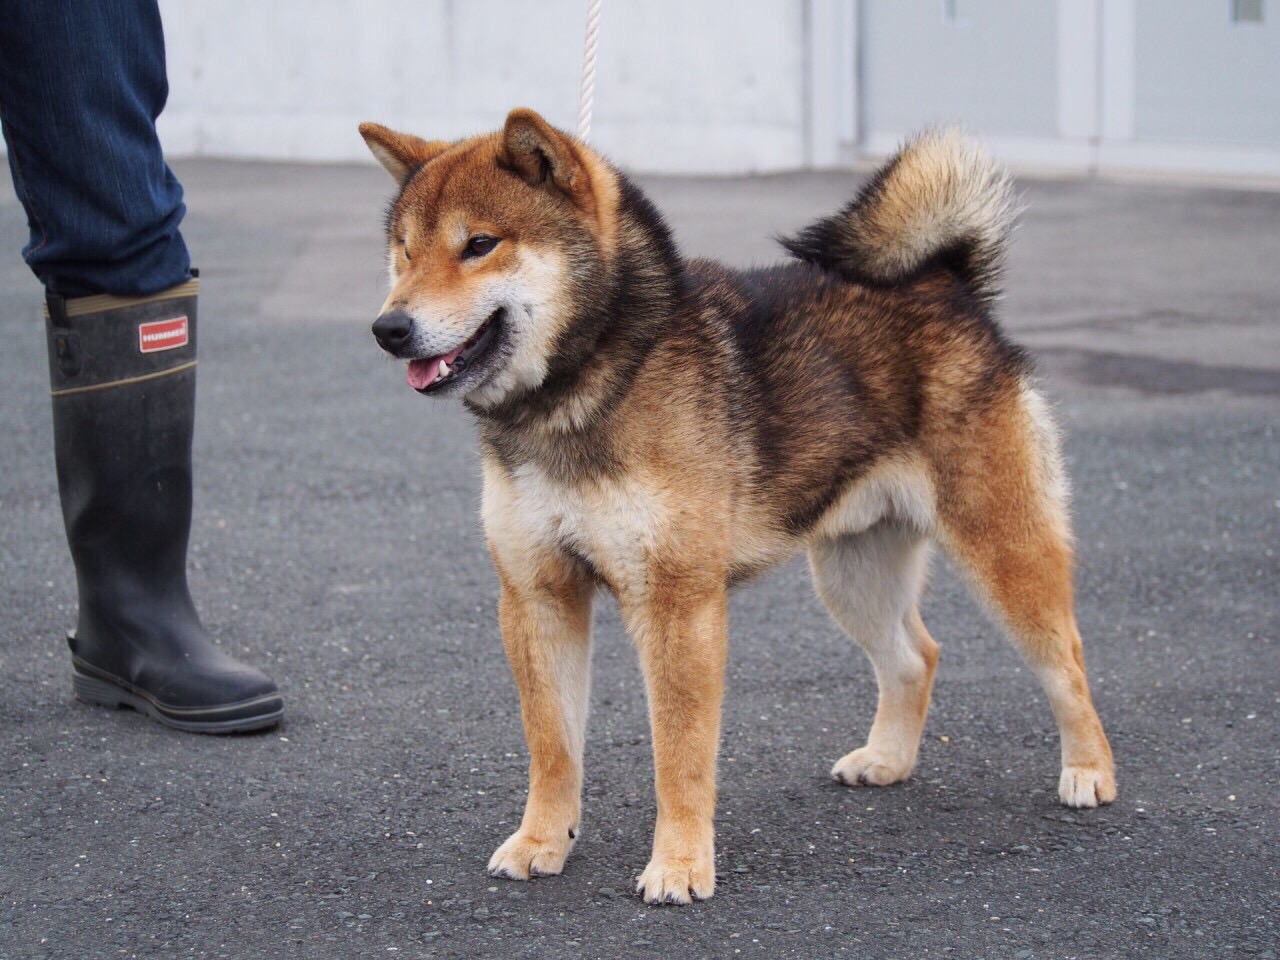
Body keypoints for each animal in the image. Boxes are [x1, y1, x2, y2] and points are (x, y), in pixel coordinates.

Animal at [359, 108, 1116, 905]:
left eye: (479, 245)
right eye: (404, 251)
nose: (389, 329)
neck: (589, 386)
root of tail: (947, 283)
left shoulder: (677, 603)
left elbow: (679, 756)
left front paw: (680, 865)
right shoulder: (536, 594)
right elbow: (553, 746)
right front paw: (542, 842)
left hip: (1002, 550)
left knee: (1065, 657)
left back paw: (1089, 771)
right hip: (853, 575)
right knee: (916, 656)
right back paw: (887, 759)